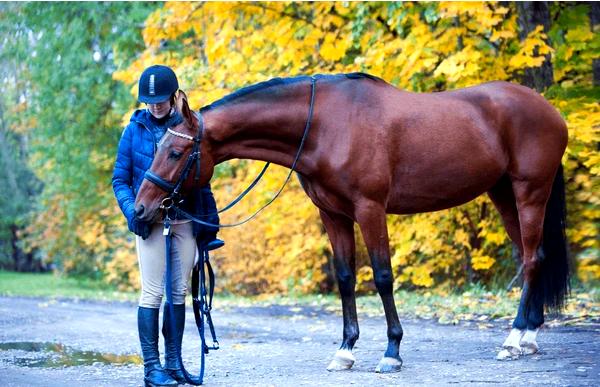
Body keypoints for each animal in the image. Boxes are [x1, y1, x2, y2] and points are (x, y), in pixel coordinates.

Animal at [134, 73, 568, 372]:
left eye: (174, 152)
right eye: (157, 147)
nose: (141, 209)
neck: (324, 125)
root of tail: (550, 110)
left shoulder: (370, 209)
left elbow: (382, 276)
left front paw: (392, 351)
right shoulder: (334, 214)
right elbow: (345, 277)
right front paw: (345, 351)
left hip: (530, 192)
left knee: (531, 259)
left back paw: (513, 338)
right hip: (503, 195)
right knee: (533, 256)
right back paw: (529, 335)